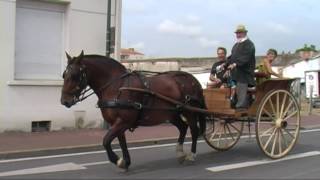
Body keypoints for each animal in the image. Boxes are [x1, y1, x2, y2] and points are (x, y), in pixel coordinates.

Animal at [60, 50, 208, 170]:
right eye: (64, 75)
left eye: (75, 75)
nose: (64, 101)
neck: (116, 86)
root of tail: (192, 79)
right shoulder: (117, 123)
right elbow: (122, 142)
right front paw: (126, 162)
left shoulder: (123, 121)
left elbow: (106, 141)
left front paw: (117, 160)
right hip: (172, 114)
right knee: (183, 127)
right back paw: (180, 153)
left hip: (189, 111)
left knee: (194, 130)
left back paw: (191, 155)